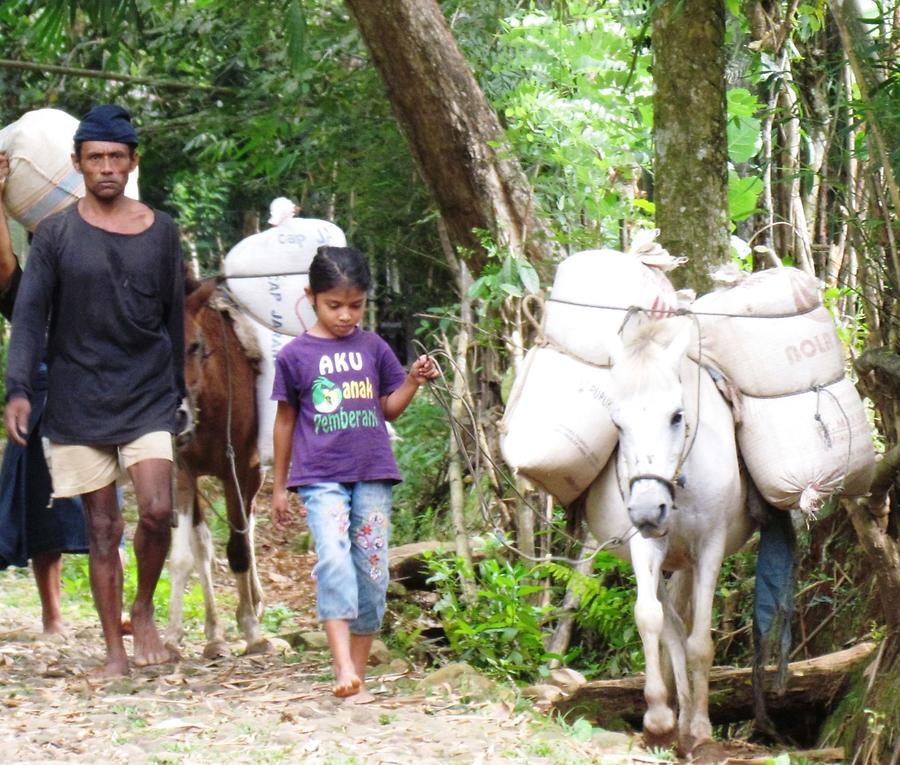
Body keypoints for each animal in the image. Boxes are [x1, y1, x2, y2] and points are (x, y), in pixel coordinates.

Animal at [588, 312, 756, 752]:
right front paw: (659, 719)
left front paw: (700, 727)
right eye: (617, 423)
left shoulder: (710, 547)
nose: (649, 510)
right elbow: (650, 618)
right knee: (672, 626)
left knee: (686, 628)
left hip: (691, 561)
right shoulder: (644, 544)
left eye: (677, 416)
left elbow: (701, 642)